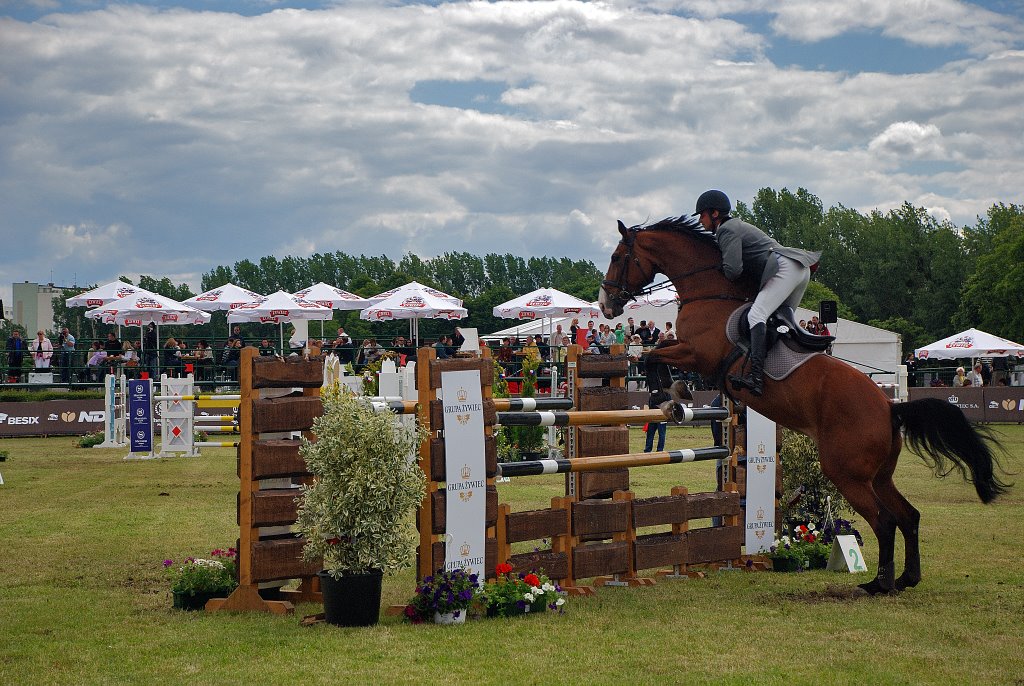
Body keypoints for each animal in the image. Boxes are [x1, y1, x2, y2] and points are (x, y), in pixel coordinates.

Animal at [598, 215, 1007, 597]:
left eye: (618, 257)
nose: (605, 305)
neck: (711, 295)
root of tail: (890, 408)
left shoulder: (698, 353)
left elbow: (651, 355)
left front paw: (668, 395)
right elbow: (654, 355)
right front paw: (672, 393)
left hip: (846, 473)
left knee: (885, 521)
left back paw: (879, 583)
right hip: (878, 476)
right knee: (909, 516)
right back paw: (907, 578)